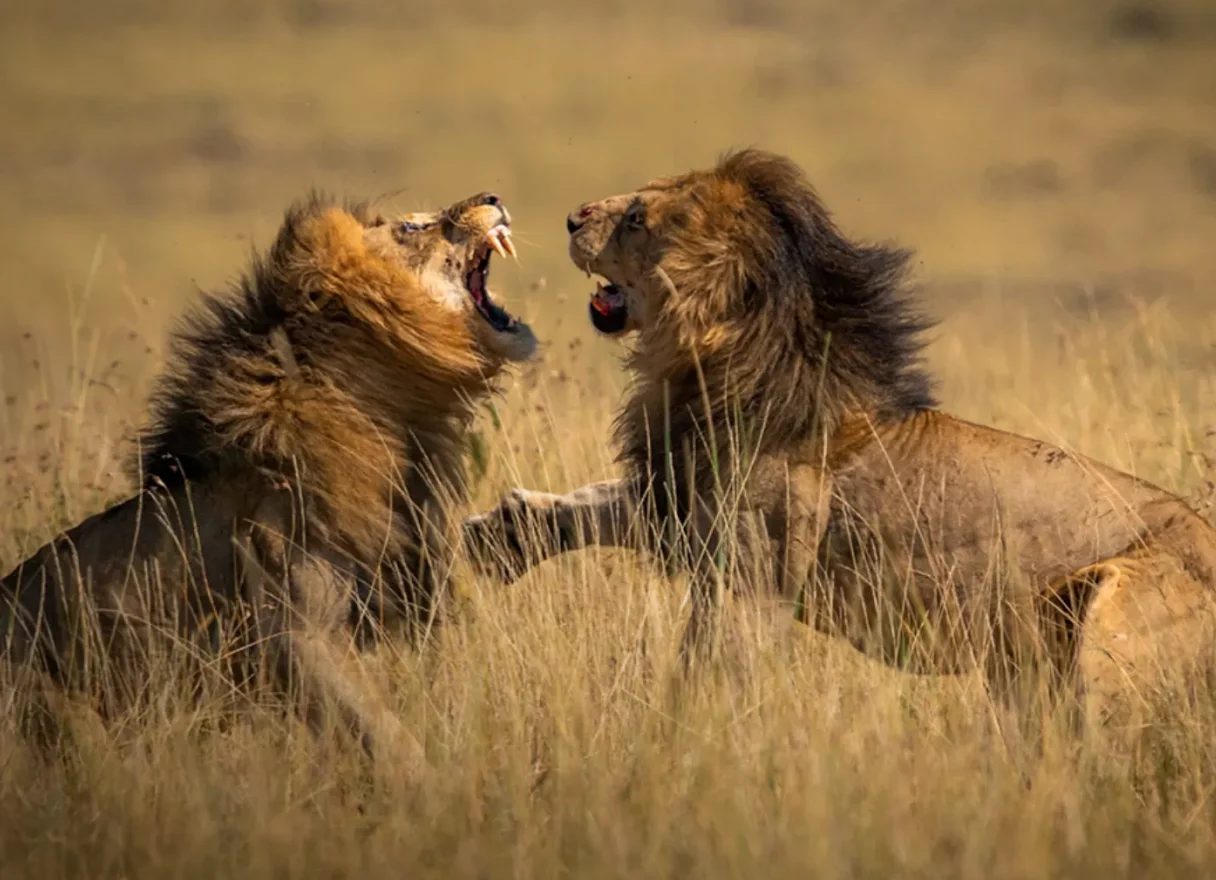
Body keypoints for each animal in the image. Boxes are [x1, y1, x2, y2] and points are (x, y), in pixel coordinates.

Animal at [1, 189, 536, 774]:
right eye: (411, 228)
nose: (492, 196)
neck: (393, 416)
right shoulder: (296, 633)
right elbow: (387, 736)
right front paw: (440, 789)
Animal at [463, 148, 1216, 732]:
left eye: (638, 218)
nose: (570, 217)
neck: (715, 362)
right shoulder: (685, 503)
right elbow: (599, 504)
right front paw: (500, 536)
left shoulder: (754, 575)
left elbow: (709, 670)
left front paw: (680, 745)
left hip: (1112, 624)